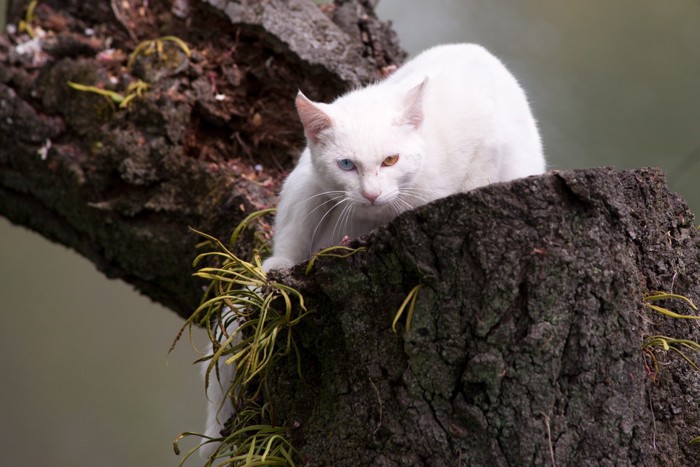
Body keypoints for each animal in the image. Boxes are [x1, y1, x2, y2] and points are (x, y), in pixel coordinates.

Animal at [200, 42, 544, 458]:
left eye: (391, 159)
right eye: (346, 164)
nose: (371, 194)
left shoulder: (486, 143)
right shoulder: (313, 184)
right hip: (304, 185)